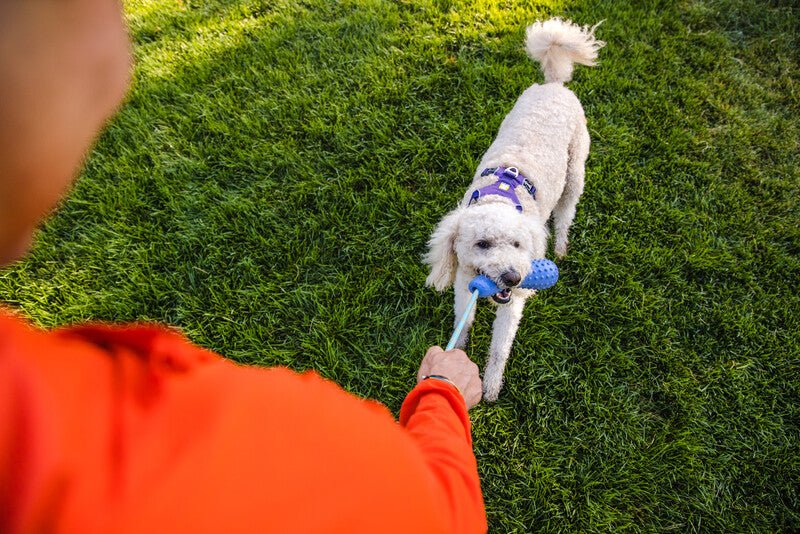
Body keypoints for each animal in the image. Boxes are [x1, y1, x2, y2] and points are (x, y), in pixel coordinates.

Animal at [424, 18, 600, 404]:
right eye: (482, 244)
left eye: (519, 246)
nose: (513, 278)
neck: (501, 197)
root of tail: (554, 85)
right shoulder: (465, 281)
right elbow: (463, 320)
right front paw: (458, 353)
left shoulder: (512, 305)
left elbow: (500, 347)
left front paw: (490, 386)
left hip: (575, 171)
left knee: (566, 213)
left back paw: (561, 246)